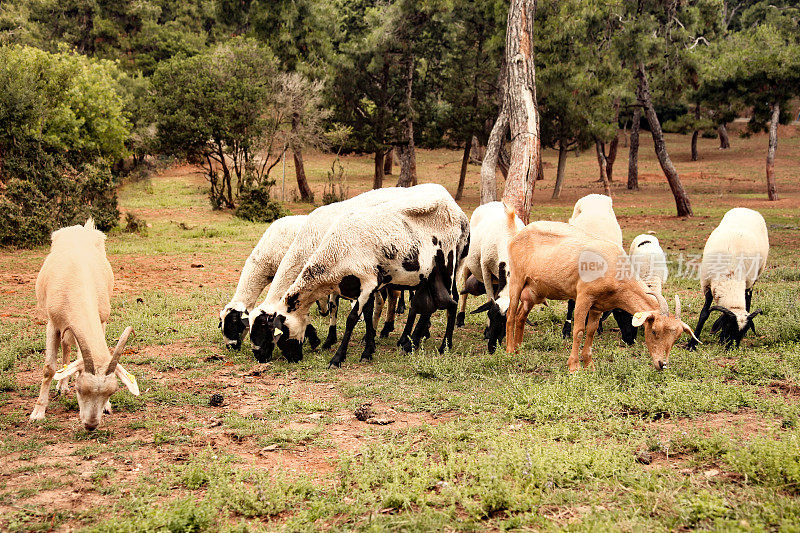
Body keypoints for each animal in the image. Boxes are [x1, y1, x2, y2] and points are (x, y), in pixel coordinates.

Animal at [456, 202, 524, 352]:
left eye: (506, 321)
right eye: (489, 315)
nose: (492, 346)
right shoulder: (485, 270)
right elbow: (489, 298)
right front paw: (486, 331)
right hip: (468, 265)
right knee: (464, 293)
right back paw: (460, 318)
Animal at [506, 220, 700, 370]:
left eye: (676, 338)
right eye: (653, 330)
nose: (662, 364)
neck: (615, 268)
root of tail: (518, 234)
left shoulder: (598, 305)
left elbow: (591, 331)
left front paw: (589, 365)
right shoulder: (584, 297)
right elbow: (579, 330)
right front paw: (573, 366)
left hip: (533, 290)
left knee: (521, 316)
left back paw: (518, 349)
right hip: (516, 279)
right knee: (510, 315)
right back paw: (509, 351)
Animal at [688, 206, 768, 348]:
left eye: (743, 330)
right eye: (728, 326)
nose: (731, 348)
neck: (730, 276)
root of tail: (746, 209)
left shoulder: (747, 282)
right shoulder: (707, 284)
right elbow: (704, 314)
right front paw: (693, 343)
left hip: (756, 275)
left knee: (748, 299)